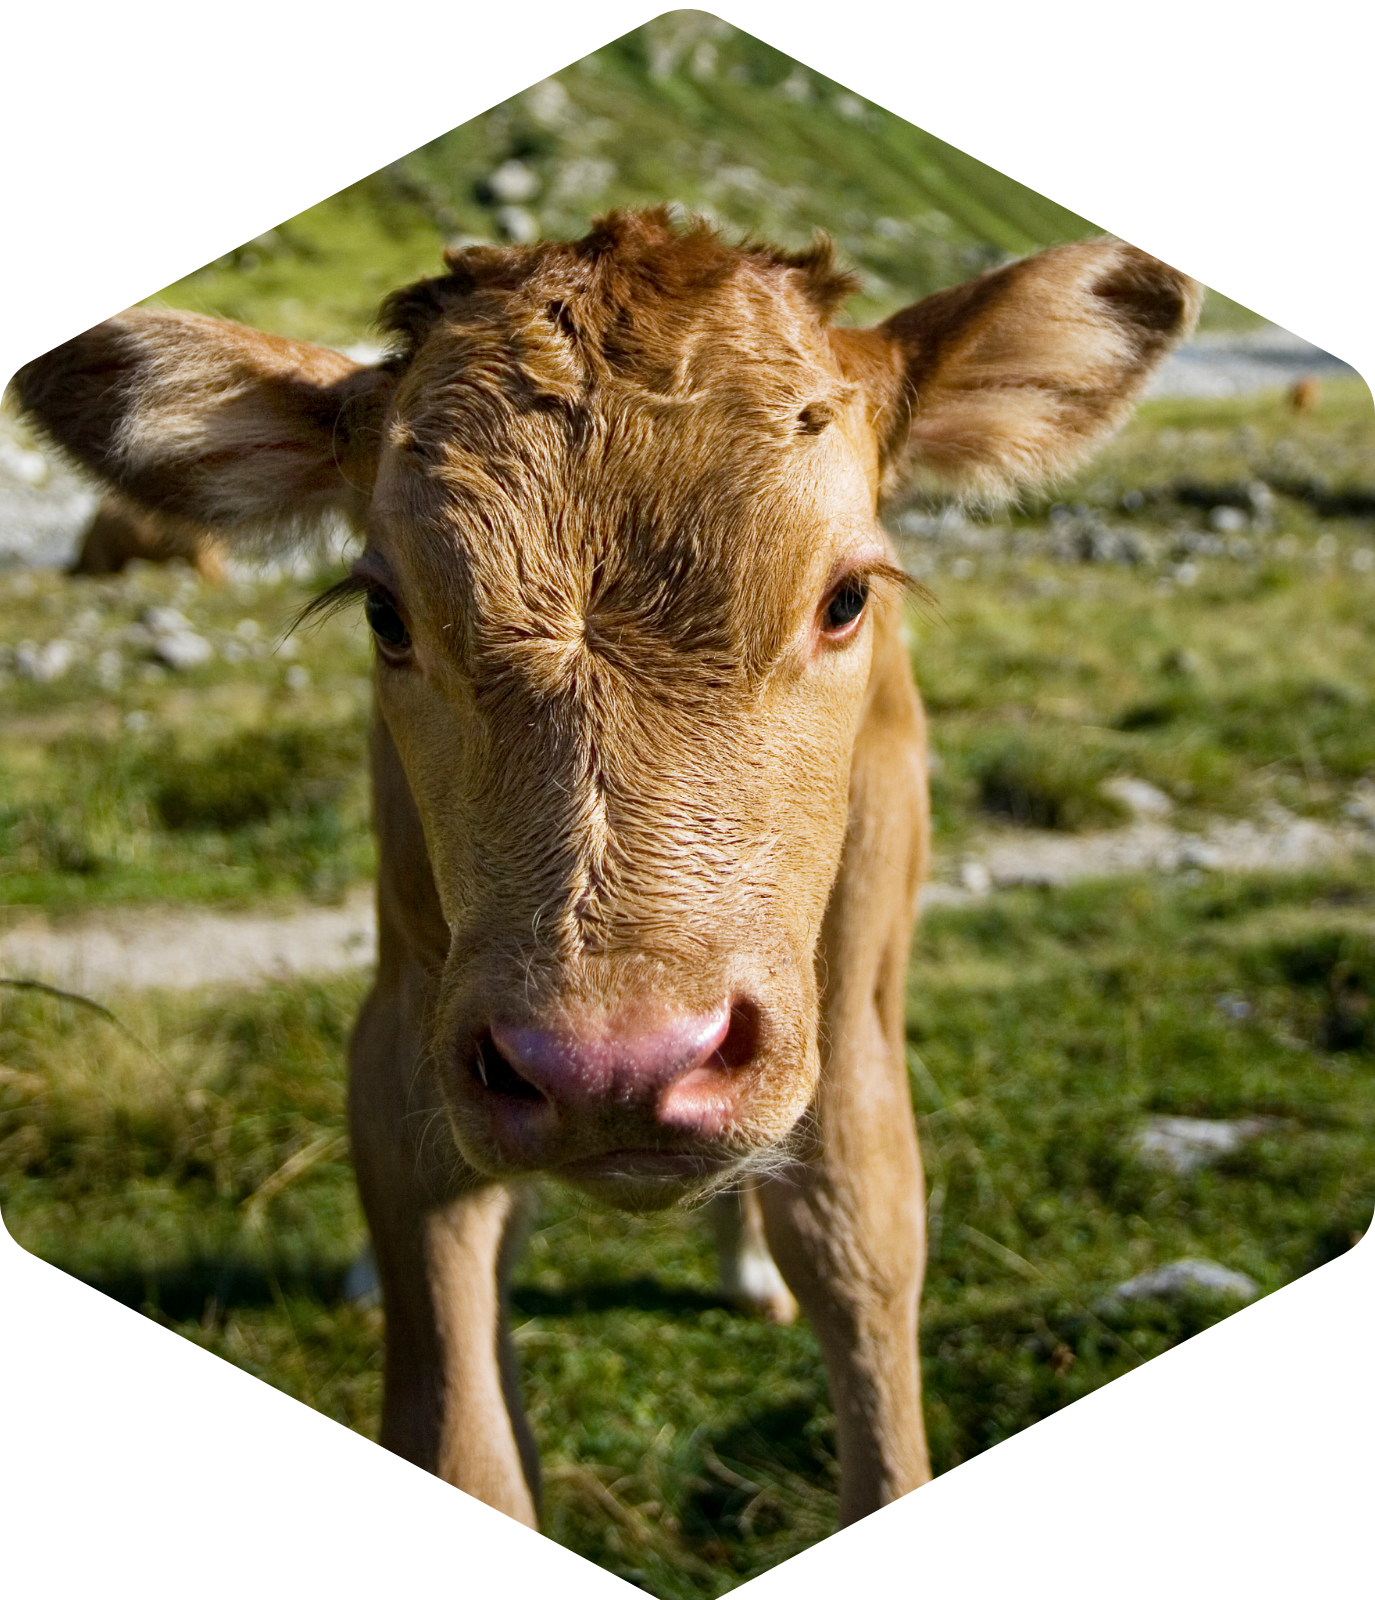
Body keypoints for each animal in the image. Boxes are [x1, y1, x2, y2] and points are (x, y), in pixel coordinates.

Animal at [12, 209, 1199, 1553]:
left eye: (846, 596)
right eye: (385, 612)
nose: (614, 1066)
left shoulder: (849, 1021)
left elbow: (860, 1270)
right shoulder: (407, 1046)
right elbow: (460, 1423)